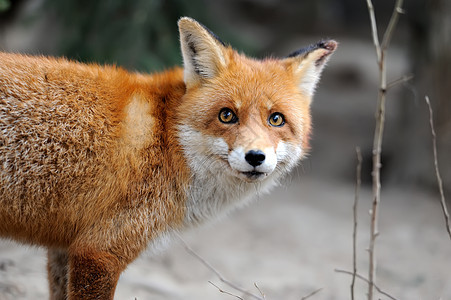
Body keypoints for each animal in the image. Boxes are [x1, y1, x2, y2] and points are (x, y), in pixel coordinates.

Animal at [0, 17, 334, 298]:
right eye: (227, 115)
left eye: (276, 120)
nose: (255, 156)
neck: (168, 140)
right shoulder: (99, 251)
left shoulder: (64, 247)